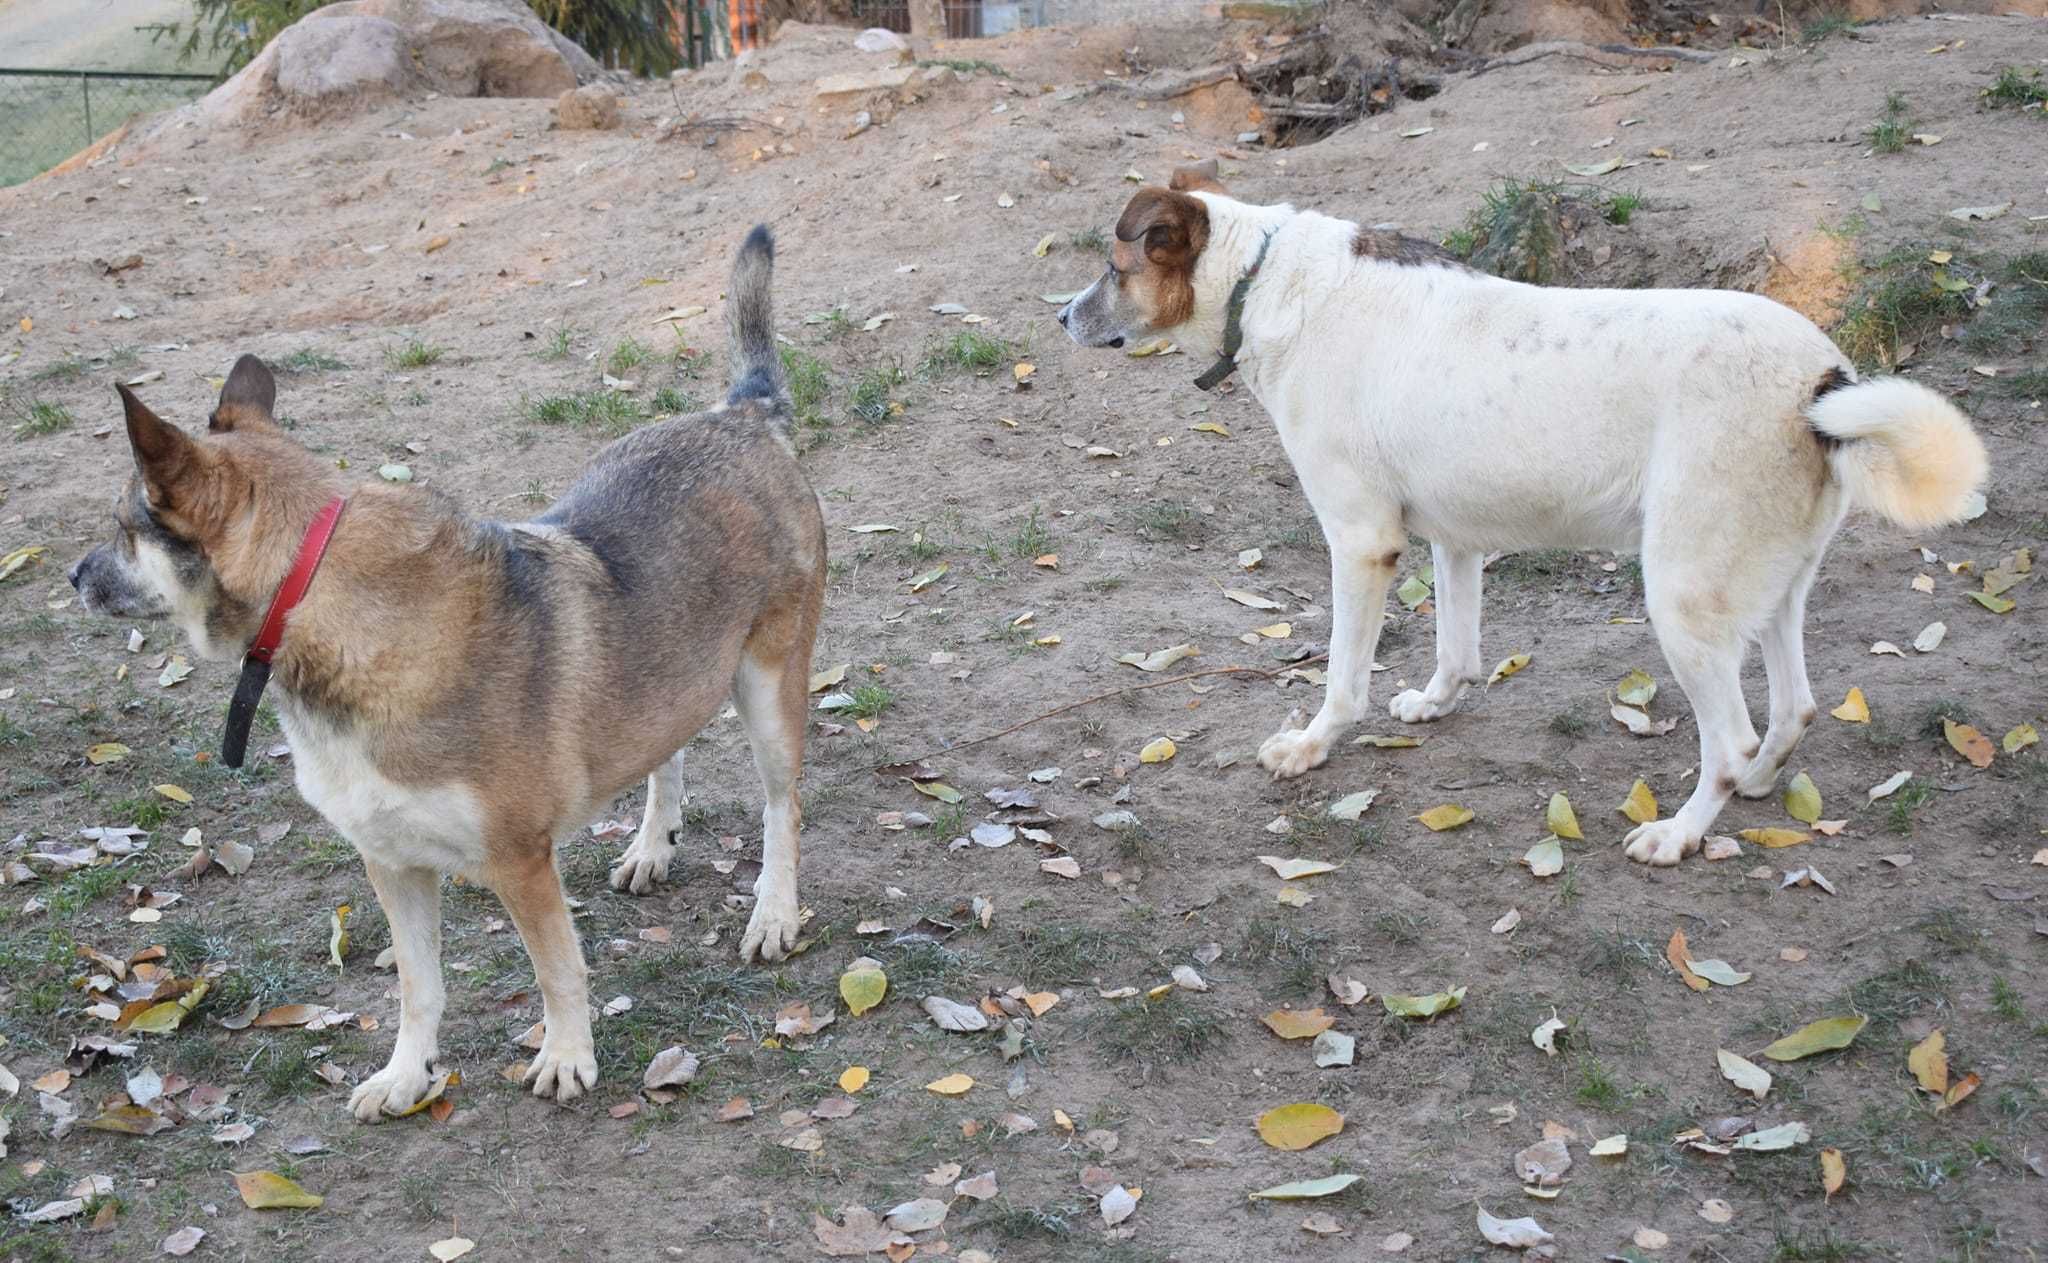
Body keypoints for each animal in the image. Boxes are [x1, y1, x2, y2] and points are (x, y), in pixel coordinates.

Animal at [72, 224, 823, 1113]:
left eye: (123, 526)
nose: (74, 576)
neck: (325, 607)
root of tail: (743, 414)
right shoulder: (391, 863)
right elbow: (418, 987)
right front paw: (405, 1076)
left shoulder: (520, 861)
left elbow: (558, 970)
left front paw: (567, 1055)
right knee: (663, 747)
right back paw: (652, 844)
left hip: (770, 693)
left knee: (781, 808)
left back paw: (773, 912)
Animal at [1064, 162, 1990, 863]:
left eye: (1115, 268)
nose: (1061, 315)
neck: (1262, 282)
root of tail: (1825, 379)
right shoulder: (1452, 541)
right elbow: (1458, 649)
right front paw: (1433, 705)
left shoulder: (1361, 544)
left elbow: (1340, 679)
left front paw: (1310, 747)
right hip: (1764, 591)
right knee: (1792, 707)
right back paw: (1761, 783)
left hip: (1682, 596)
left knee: (1726, 740)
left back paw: (1680, 833)